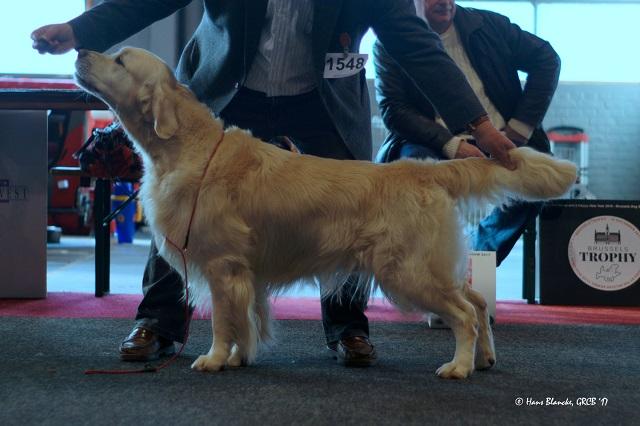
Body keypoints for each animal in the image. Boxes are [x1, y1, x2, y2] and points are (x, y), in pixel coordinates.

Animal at [74, 47, 576, 380]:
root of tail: (421, 169)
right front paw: (239, 358)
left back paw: (458, 366)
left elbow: (223, 320)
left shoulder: (222, 264)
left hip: (406, 270)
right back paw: (484, 359)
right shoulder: (247, 272)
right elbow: (248, 320)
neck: (189, 150)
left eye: (120, 61)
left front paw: (214, 359)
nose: (79, 50)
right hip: (430, 265)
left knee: (466, 313)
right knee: (477, 301)